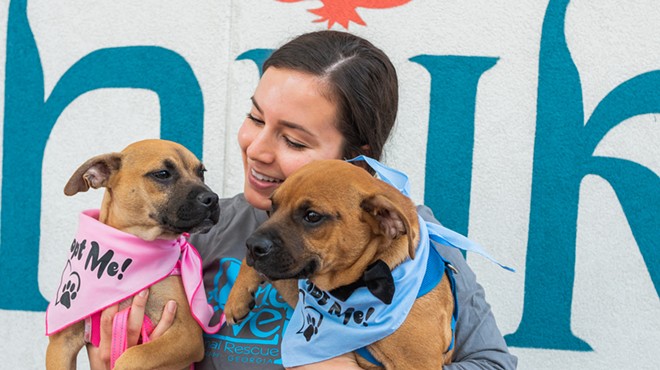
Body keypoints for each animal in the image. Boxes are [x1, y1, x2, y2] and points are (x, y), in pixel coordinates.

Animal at [47, 139, 222, 370]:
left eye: (201, 172)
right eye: (162, 174)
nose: (213, 198)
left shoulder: (187, 333)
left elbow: (133, 356)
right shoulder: (61, 342)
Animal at [224, 160, 456, 370]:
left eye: (312, 216)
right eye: (272, 207)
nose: (252, 246)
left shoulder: (416, 363)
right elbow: (258, 268)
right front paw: (236, 300)